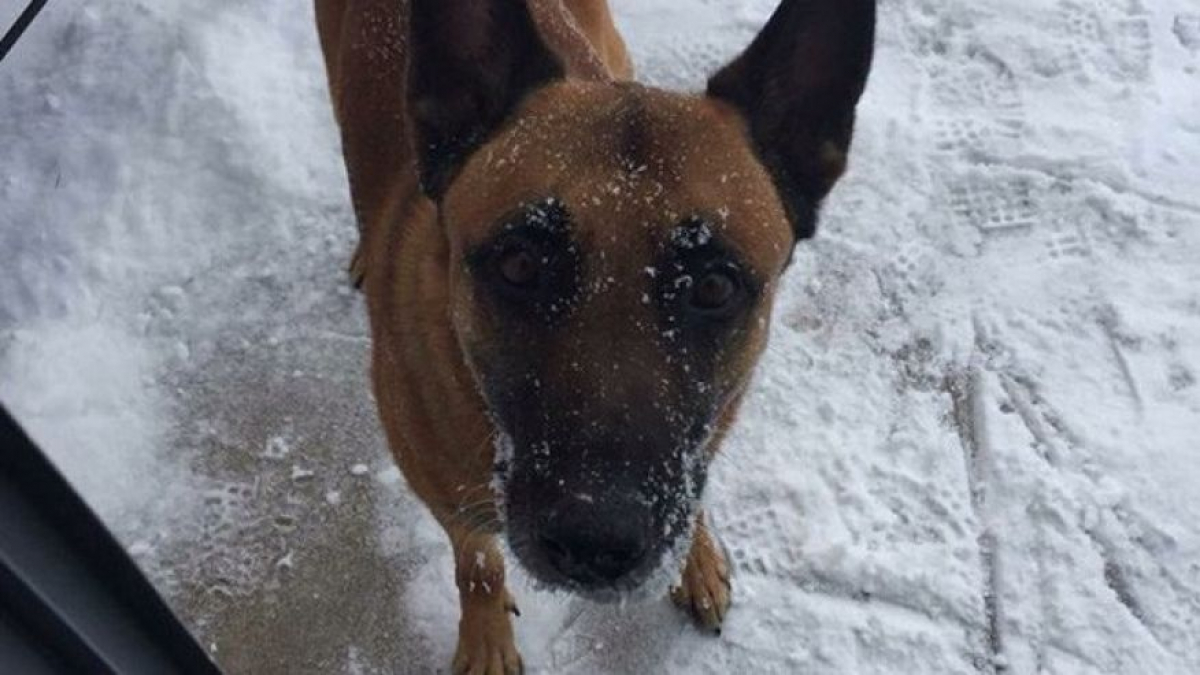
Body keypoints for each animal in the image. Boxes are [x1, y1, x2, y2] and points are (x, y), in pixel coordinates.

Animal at [314, 1, 878, 667]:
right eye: (519, 264)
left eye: (714, 286)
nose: (595, 542)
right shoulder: (449, 502)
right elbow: (478, 567)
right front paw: (486, 641)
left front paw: (696, 561)